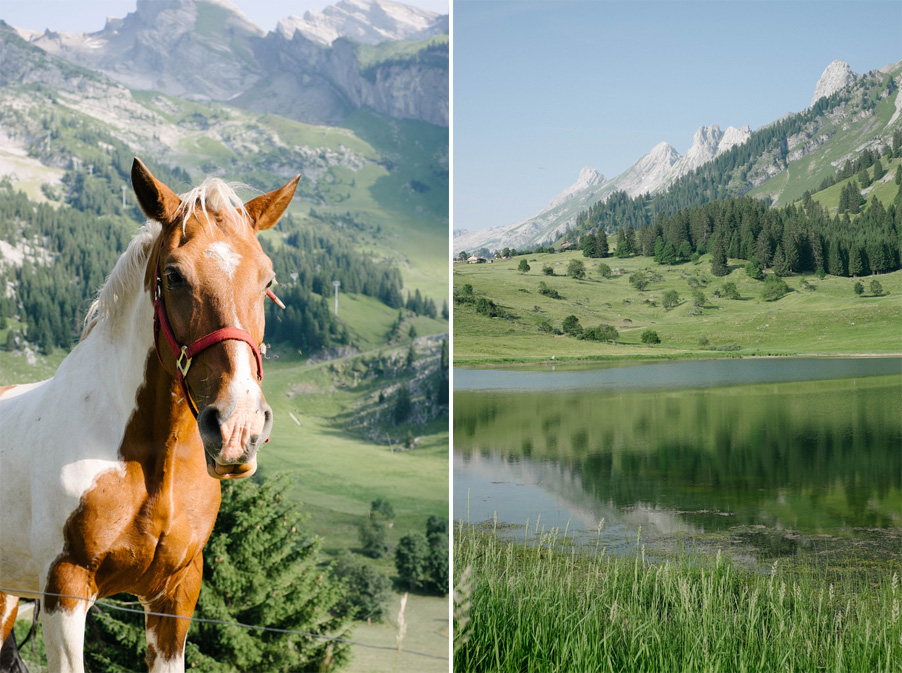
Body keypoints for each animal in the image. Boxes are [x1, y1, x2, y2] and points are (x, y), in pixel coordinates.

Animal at [0, 159, 304, 672]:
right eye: (175, 275)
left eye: (267, 281)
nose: (238, 426)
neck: (149, 459)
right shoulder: (65, 592)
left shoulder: (174, 596)